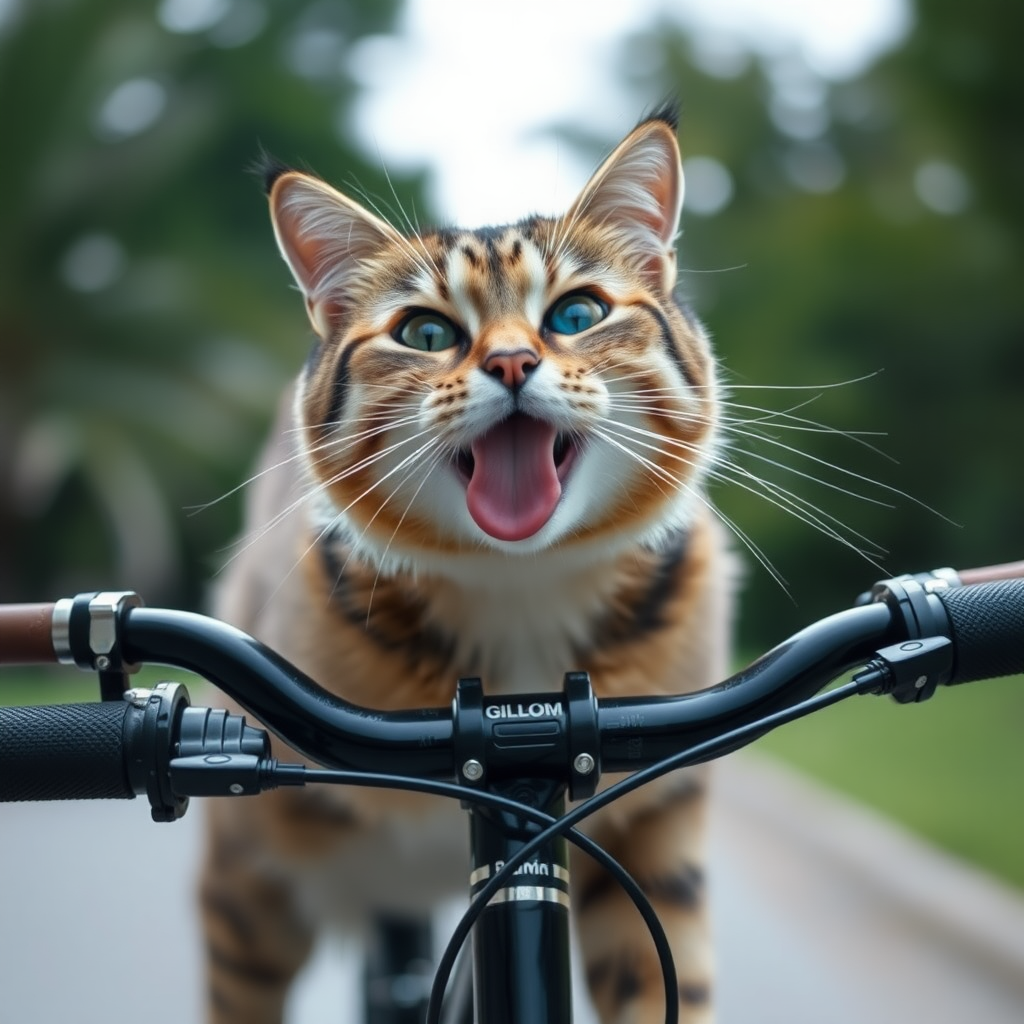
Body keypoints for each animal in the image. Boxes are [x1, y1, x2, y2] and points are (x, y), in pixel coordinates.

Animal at [205, 105, 737, 1024]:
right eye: (426, 333)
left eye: (576, 314)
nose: (512, 363)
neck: (519, 600)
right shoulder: (242, 877)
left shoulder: (656, 824)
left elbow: (661, 974)